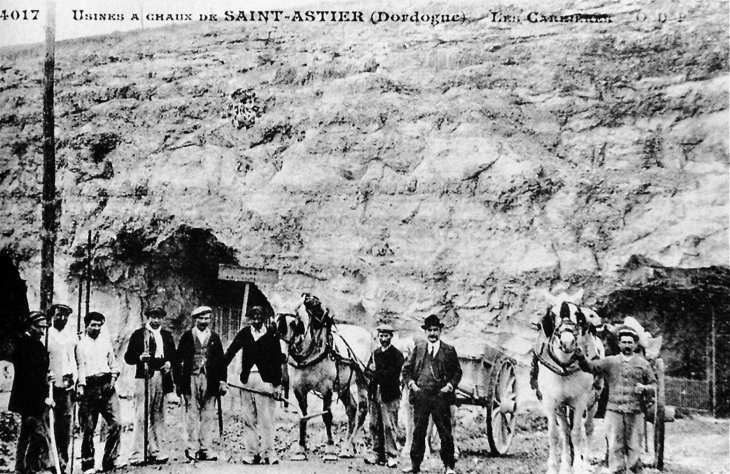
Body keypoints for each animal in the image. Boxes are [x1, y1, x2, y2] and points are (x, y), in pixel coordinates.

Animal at [278, 292, 372, 460]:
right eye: (275, 323)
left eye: (295, 323)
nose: (283, 355)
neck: (309, 354)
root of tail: (366, 333)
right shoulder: (299, 389)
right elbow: (303, 416)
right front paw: (301, 448)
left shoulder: (326, 388)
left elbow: (327, 416)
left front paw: (330, 448)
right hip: (343, 385)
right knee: (351, 409)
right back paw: (347, 446)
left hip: (362, 380)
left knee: (362, 410)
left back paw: (349, 444)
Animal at [536, 298, 604, 474]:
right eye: (553, 316)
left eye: (577, 316)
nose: (567, 342)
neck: (564, 367)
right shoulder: (550, 402)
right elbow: (554, 434)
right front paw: (554, 467)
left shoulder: (580, 401)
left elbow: (577, 433)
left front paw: (579, 466)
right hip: (562, 407)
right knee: (565, 432)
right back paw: (567, 465)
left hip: (594, 400)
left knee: (588, 427)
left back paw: (586, 461)